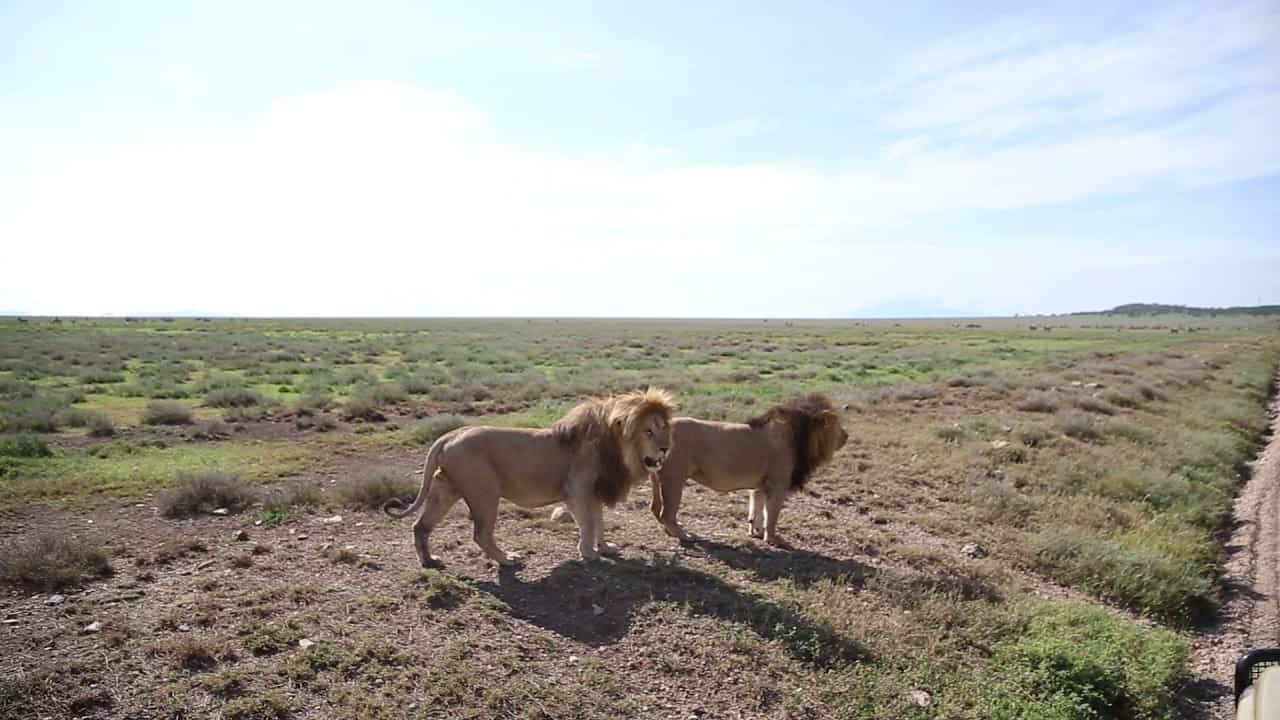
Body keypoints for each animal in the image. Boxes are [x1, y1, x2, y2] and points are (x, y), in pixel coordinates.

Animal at [383, 388, 674, 565]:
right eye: (648, 431)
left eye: (664, 428)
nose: (665, 448)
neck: (615, 447)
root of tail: (448, 435)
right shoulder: (576, 491)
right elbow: (588, 524)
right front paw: (588, 553)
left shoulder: (595, 491)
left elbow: (599, 522)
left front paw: (605, 548)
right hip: (485, 493)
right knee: (481, 534)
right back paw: (507, 559)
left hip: (445, 490)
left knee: (420, 527)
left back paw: (430, 562)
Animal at [650, 394, 847, 547]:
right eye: (837, 425)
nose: (846, 436)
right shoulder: (778, 484)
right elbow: (772, 515)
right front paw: (773, 539)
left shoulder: (761, 485)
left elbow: (757, 509)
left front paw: (756, 531)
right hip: (675, 478)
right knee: (667, 514)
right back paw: (684, 535)